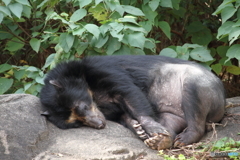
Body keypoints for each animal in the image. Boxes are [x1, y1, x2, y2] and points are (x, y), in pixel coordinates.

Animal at [39, 55, 225, 150]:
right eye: (77, 123)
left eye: (83, 106)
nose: (100, 124)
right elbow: (122, 114)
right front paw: (139, 130)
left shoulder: (104, 70)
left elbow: (129, 92)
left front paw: (151, 128)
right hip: (174, 112)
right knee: (171, 120)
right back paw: (160, 141)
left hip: (202, 85)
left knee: (193, 102)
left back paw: (184, 138)